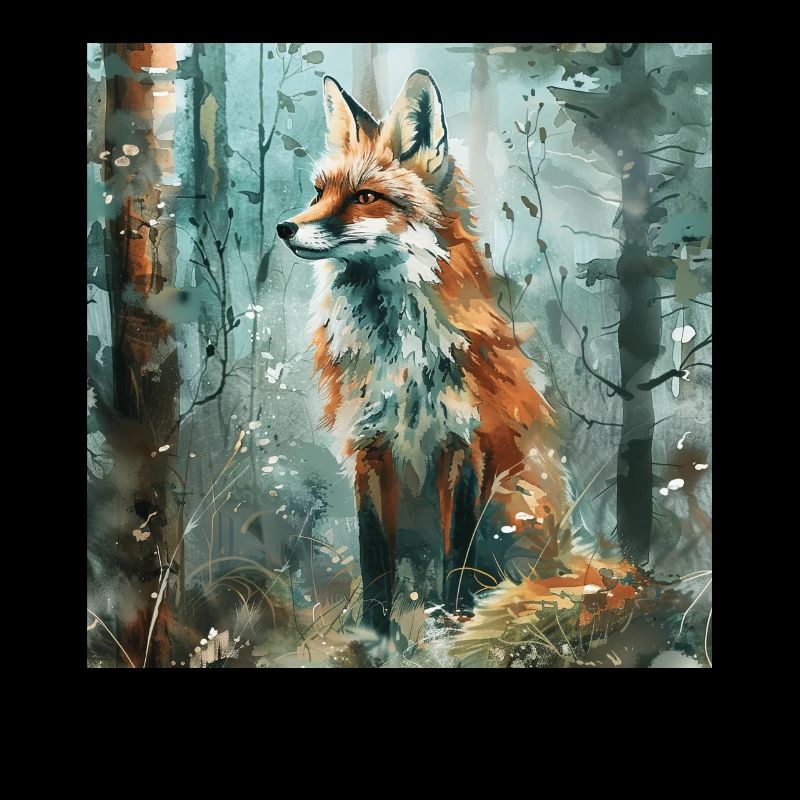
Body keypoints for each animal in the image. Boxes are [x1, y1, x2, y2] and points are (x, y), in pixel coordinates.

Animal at [277, 70, 572, 635]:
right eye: (319, 191)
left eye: (365, 196)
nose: (285, 228)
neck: (397, 350)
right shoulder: (368, 446)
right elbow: (375, 560)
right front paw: (374, 634)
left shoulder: (464, 441)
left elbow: (458, 550)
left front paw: (457, 623)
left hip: (514, 508)